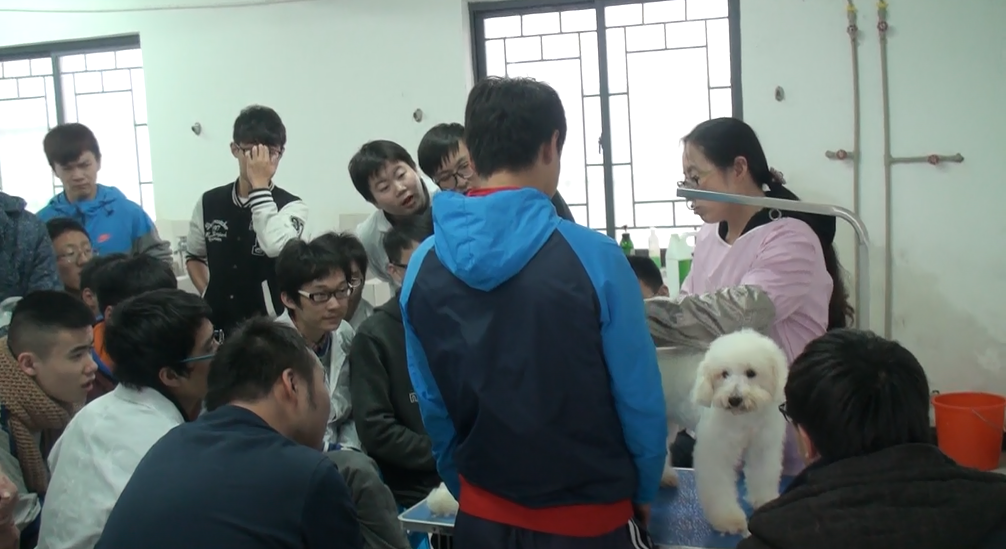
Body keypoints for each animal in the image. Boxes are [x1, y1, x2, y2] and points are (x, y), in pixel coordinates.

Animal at [690, 329, 789, 535]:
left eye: (751, 372)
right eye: (724, 374)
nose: (734, 399)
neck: (744, 418)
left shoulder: (762, 447)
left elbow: (762, 475)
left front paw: (765, 500)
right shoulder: (716, 452)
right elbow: (718, 486)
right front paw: (728, 519)